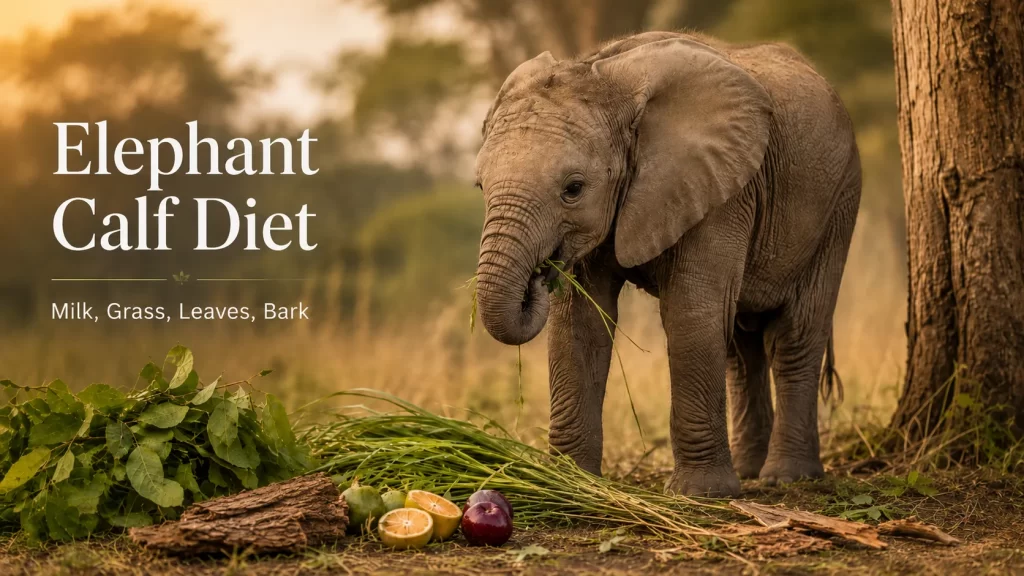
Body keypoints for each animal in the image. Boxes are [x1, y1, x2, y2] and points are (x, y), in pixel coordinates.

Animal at [473, 31, 860, 497]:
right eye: (480, 186)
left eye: (573, 189)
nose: (541, 274)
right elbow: (580, 323)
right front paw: (571, 481)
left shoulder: (723, 191)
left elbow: (690, 313)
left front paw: (701, 494)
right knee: (741, 346)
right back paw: (750, 470)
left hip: (838, 205)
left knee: (793, 336)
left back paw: (786, 476)